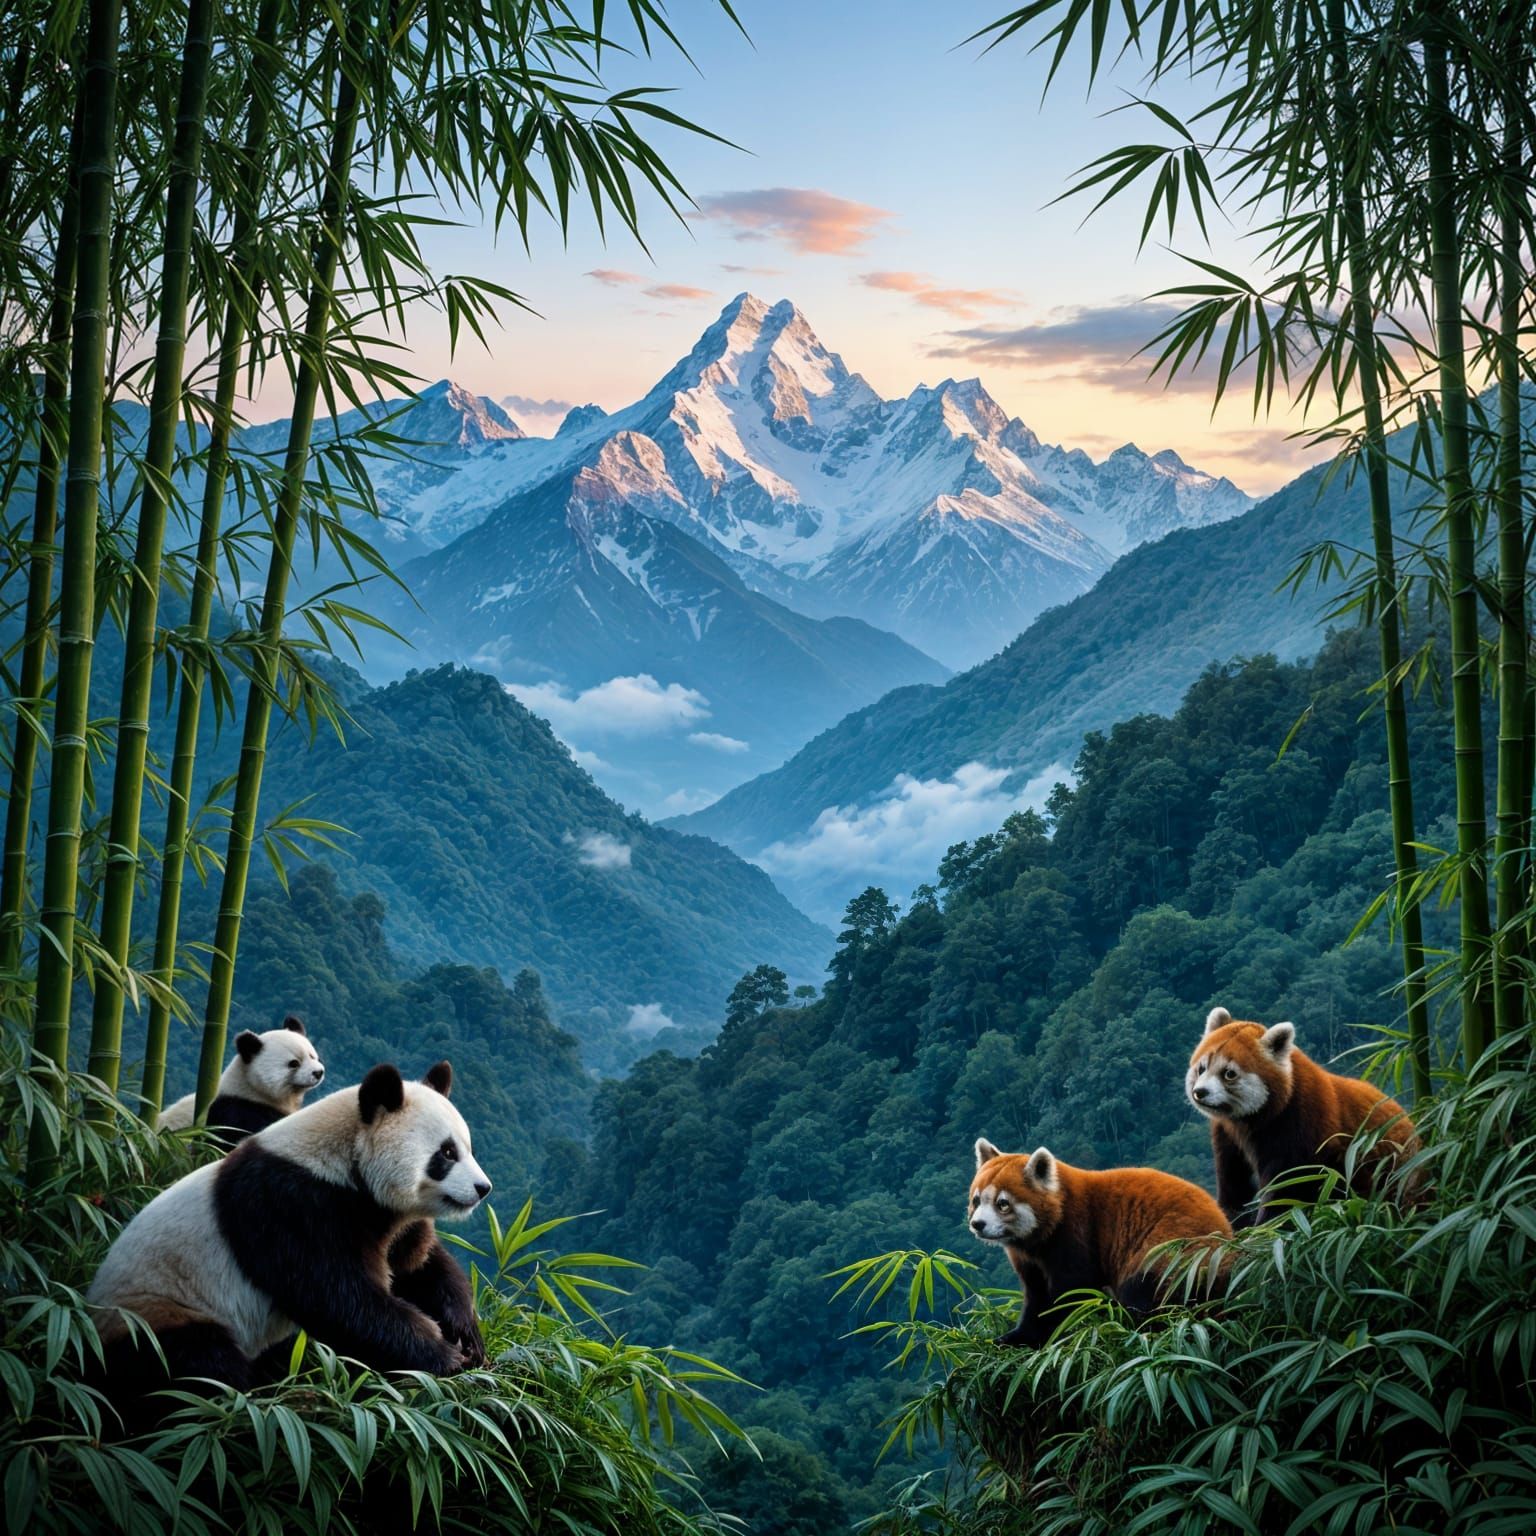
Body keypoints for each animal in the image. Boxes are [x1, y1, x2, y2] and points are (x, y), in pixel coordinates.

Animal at [90, 1060, 491, 1417]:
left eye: (468, 1147)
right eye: (447, 1152)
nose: (482, 1188)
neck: (344, 1160)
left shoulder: (384, 1214)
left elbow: (418, 1266)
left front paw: (466, 1335)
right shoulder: (293, 1205)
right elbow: (340, 1299)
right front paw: (443, 1356)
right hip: (154, 1313)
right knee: (196, 1366)